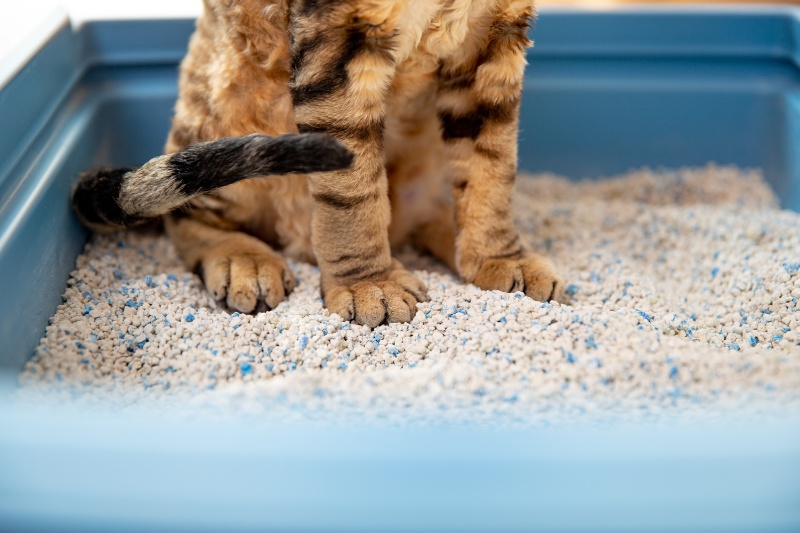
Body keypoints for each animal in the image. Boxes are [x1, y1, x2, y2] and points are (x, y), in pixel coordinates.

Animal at [73, 0, 564, 326]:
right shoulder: (338, 40)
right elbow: (352, 193)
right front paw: (369, 285)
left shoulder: (493, 37)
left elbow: (492, 167)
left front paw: (500, 258)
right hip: (226, 112)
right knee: (187, 213)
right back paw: (243, 260)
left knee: (423, 214)